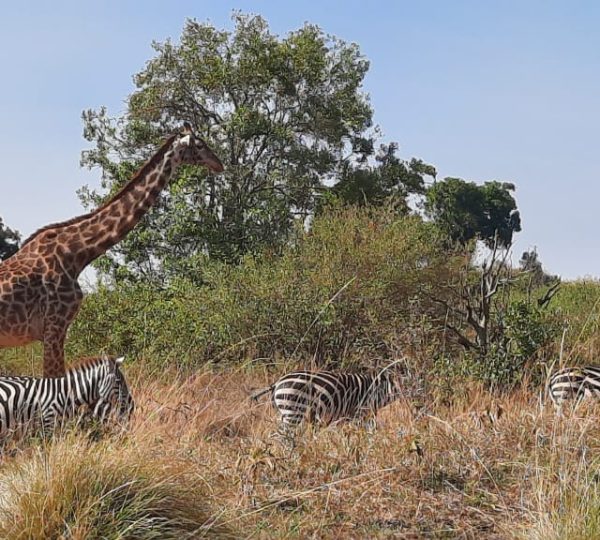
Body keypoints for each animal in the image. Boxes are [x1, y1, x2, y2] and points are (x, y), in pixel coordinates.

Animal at [251, 368, 406, 438]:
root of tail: (277, 383)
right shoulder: (360, 411)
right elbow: (363, 432)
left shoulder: (359, 414)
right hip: (293, 411)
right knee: (281, 435)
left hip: (284, 412)